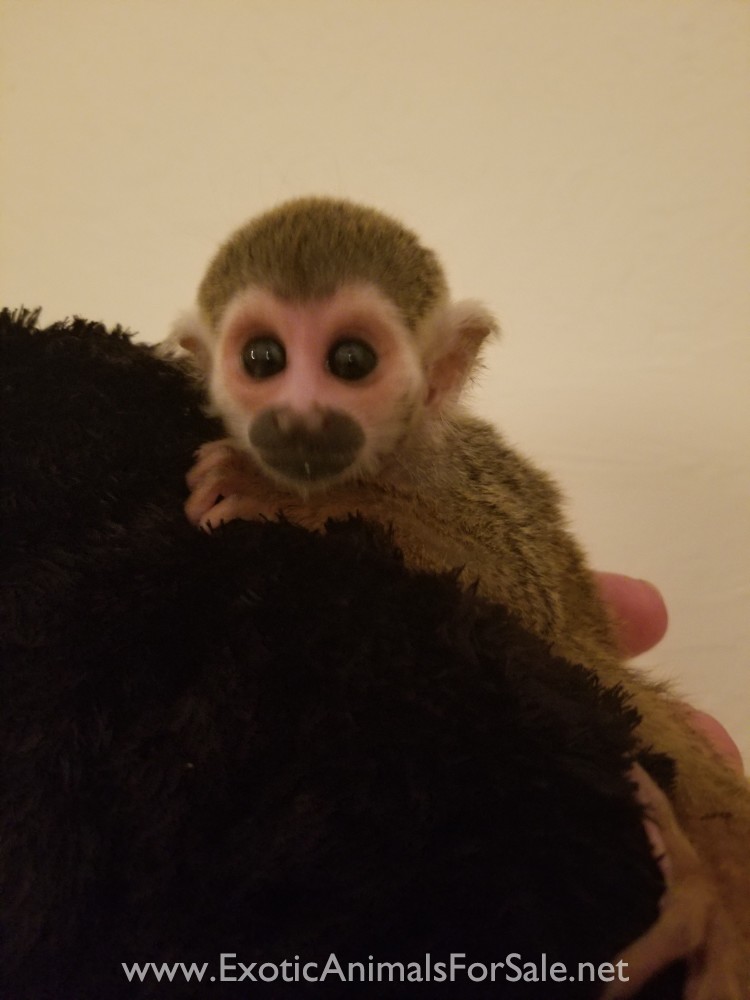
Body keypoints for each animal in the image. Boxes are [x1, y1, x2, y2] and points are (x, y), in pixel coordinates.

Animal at [167, 197, 750, 995]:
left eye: (351, 362)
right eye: (263, 360)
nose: (298, 419)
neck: (394, 460)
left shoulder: (476, 483)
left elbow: (519, 600)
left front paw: (287, 496)